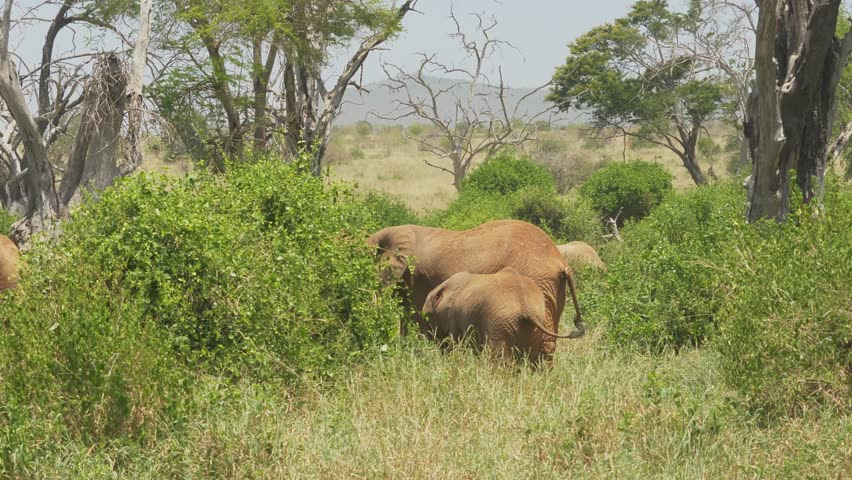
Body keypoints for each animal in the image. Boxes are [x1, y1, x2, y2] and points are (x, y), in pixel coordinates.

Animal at [422, 267, 579, 364]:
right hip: (534, 323)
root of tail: (525, 304)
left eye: (428, 317)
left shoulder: (454, 316)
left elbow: (455, 344)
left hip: (500, 321)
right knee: (529, 358)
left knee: (499, 358)